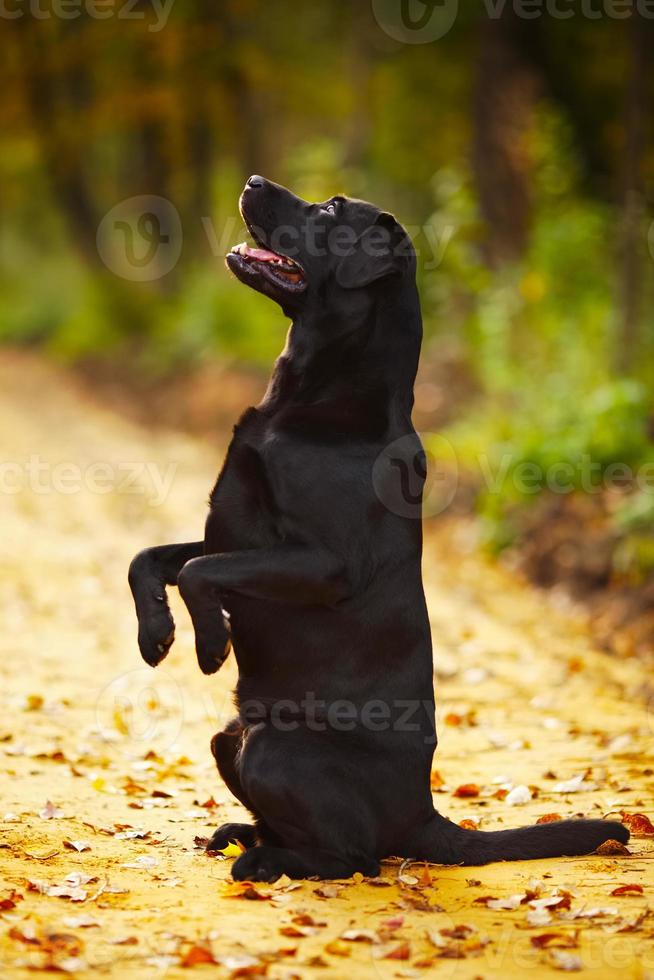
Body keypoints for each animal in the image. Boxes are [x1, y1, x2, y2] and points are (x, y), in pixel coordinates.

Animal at [129, 174, 632, 880]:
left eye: (330, 210)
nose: (252, 181)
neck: (314, 396)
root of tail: (424, 815)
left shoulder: (322, 562)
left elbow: (199, 571)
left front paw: (209, 644)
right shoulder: (232, 533)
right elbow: (149, 558)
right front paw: (157, 635)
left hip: (272, 747)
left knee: (352, 856)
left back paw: (262, 861)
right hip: (231, 738)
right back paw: (242, 835)